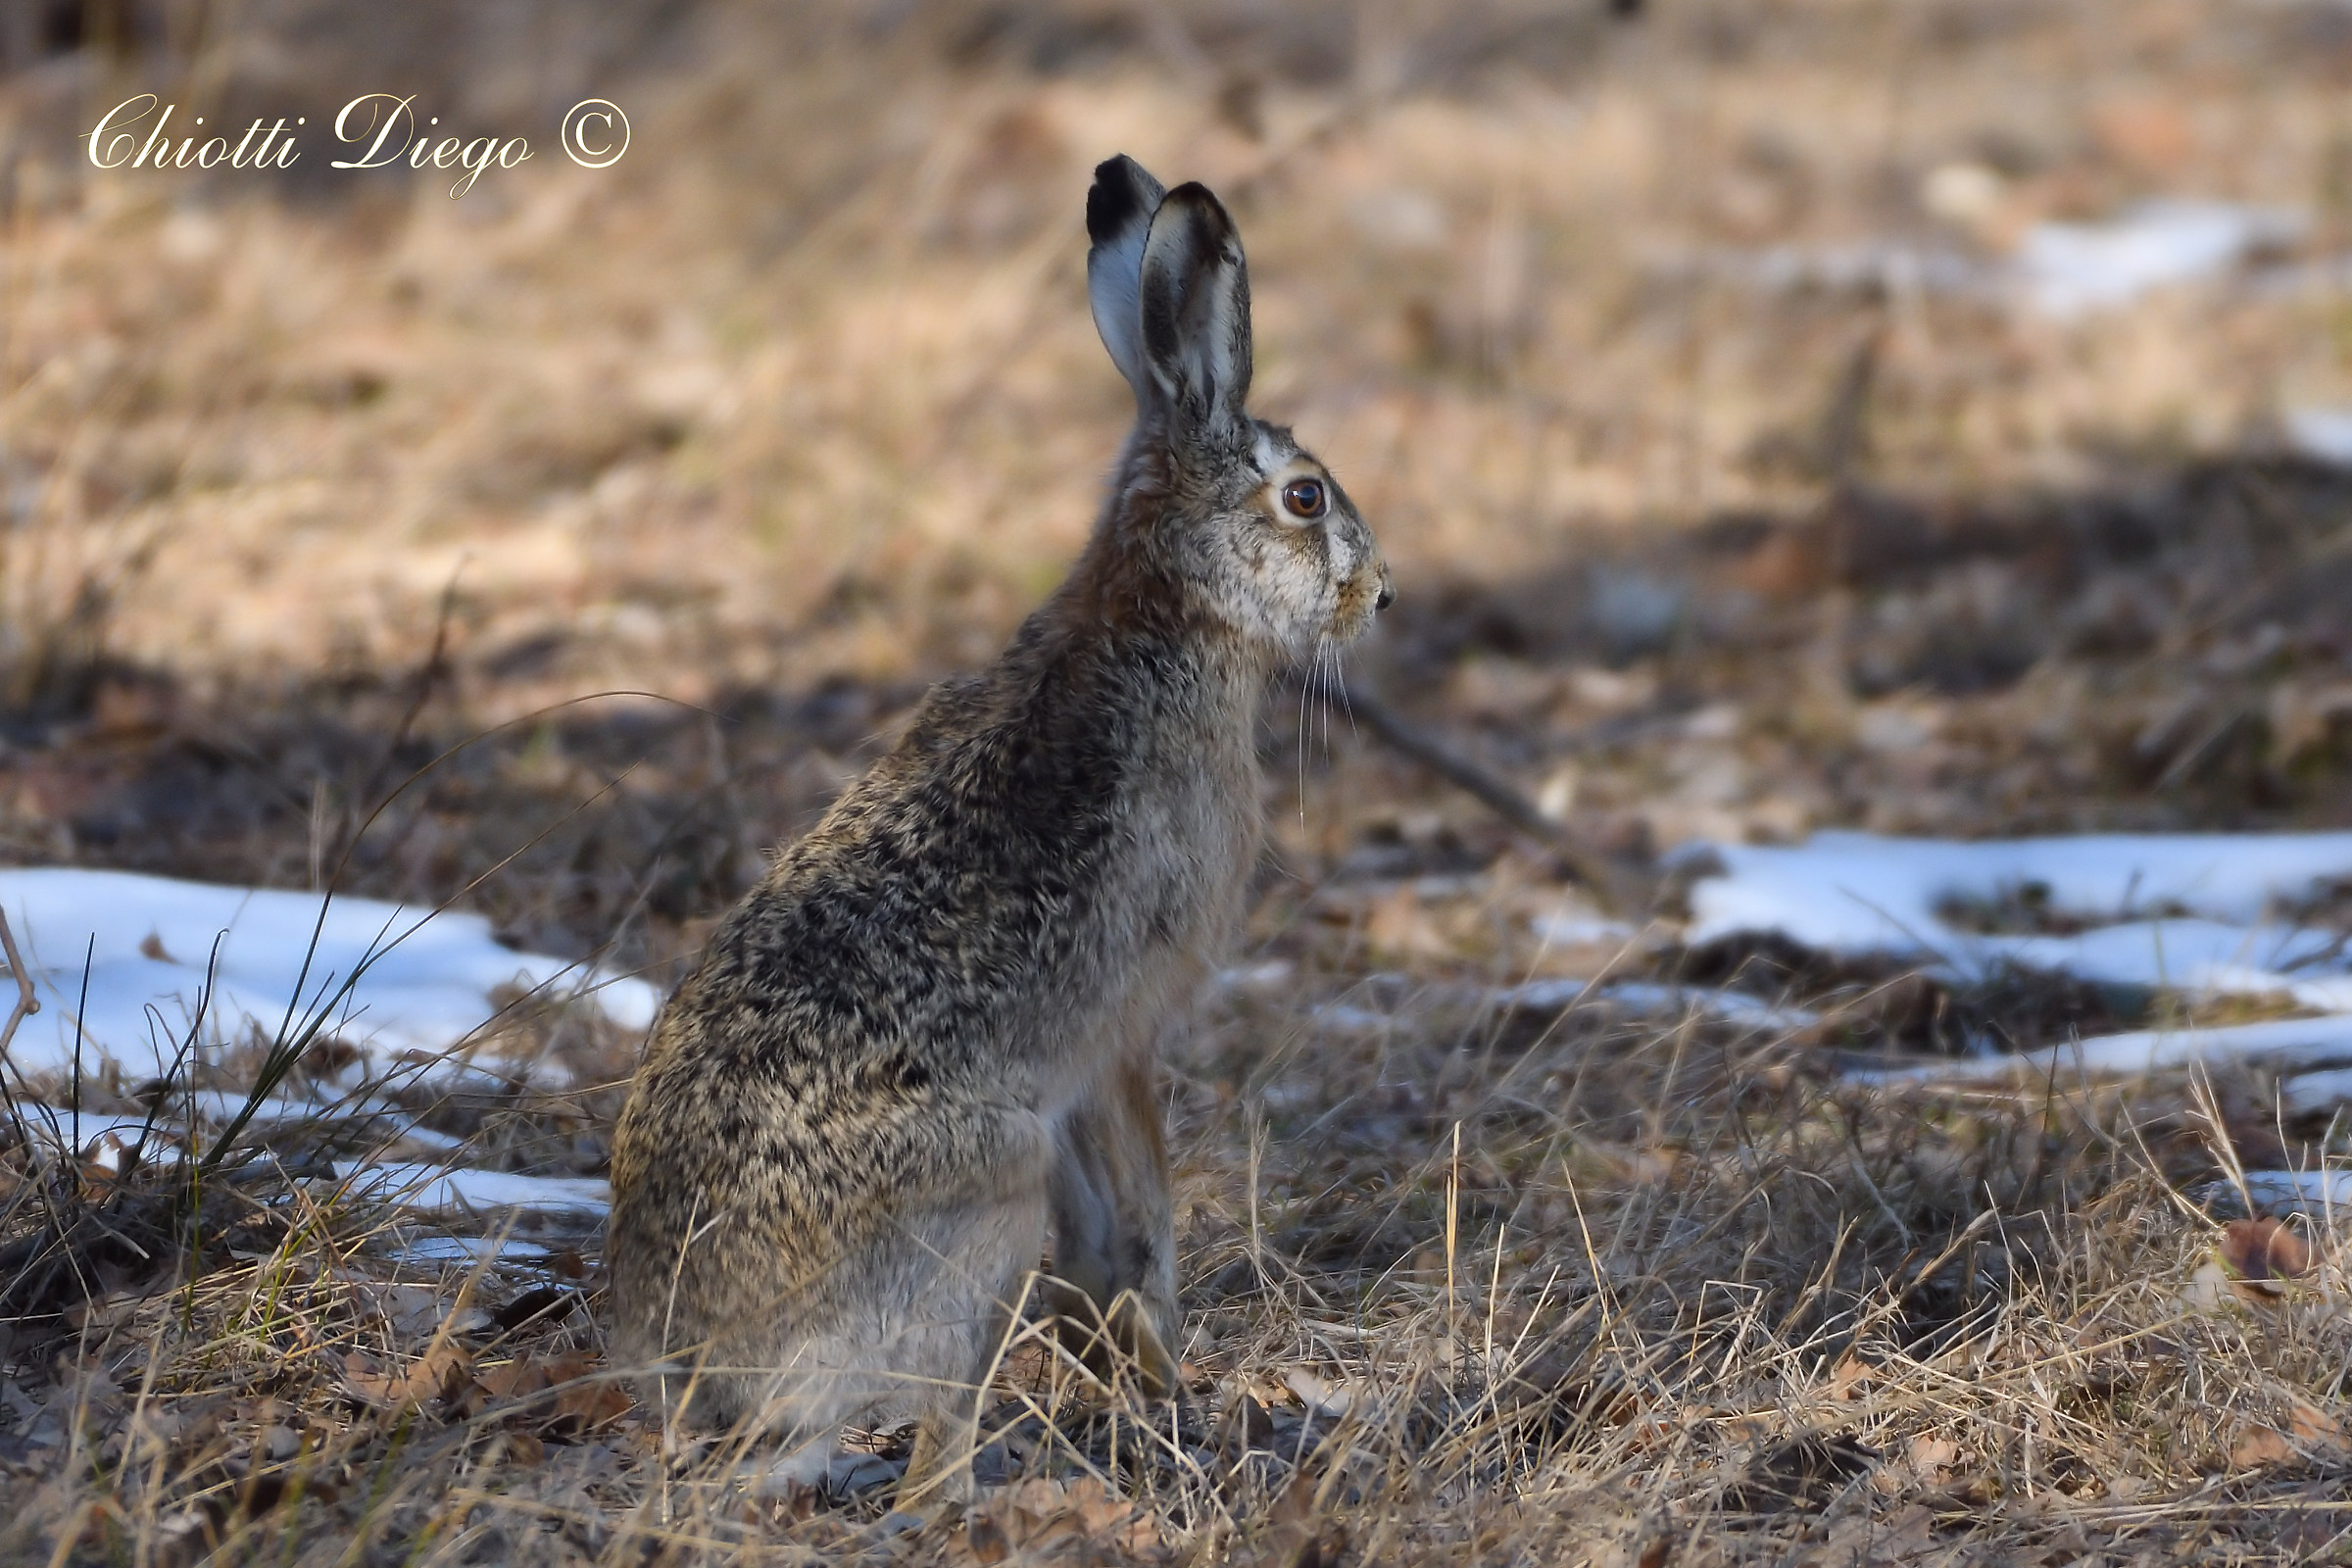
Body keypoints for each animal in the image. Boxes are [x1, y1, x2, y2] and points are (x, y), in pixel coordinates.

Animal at [605, 152, 1391, 1499]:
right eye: (1303, 498)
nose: (1382, 593)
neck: (1168, 612)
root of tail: (708, 1359)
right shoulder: (1123, 1029)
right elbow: (1142, 1208)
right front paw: (1163, 1371)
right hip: (988, 1196)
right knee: (925, 1446)